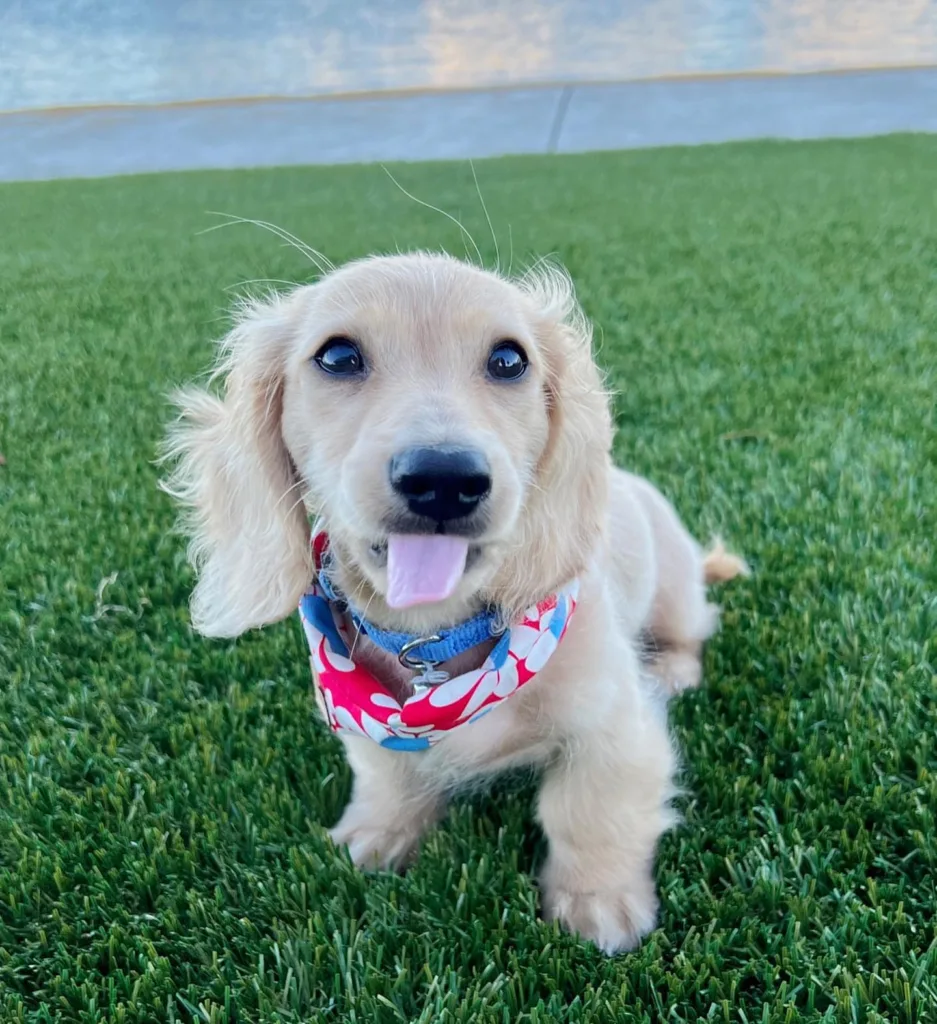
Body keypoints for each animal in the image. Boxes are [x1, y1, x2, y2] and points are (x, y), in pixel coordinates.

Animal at [162, 251, 745, 954]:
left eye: (509, 359)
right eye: (337, 356)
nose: (444, 478)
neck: (439, 640)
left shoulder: (616, 729)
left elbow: (588, 810)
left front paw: (599, 903)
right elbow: (388, 776)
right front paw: (378, 833)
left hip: (675, 586)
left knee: (691, 630)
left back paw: (676, 668)